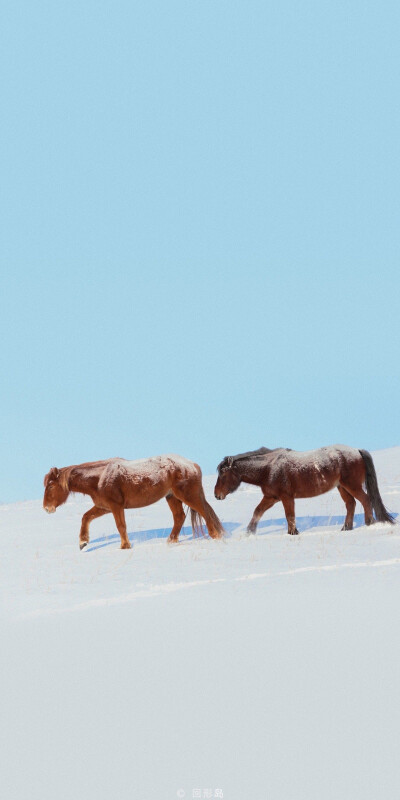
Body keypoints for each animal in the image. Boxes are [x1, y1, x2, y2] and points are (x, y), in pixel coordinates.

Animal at [44, 456, 225, 552]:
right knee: (179, 517)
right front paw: (83, 542)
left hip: (187, 496)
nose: (47, 508)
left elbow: (121, 526)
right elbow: (85, 517)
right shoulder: (104, 507)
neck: (100, 478)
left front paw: (125, 546)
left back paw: (215, 536)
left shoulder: (116, 506)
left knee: (204, 513)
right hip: (172, 497)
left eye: (51, 486)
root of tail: (192, 465)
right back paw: (171, 541)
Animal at [214, 446, 396, 536]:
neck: (268, 468)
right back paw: (346, 528)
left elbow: (290, 516)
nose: (217, 494)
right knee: (351, 504)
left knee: (365, 500)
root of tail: (357, 451)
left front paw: (293, 533)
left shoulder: (286, 497)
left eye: (223, 473)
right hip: (342, 487)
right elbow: (257, 512)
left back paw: (369, 523)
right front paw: (249, 532)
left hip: (351, 485)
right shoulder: (271, 497)